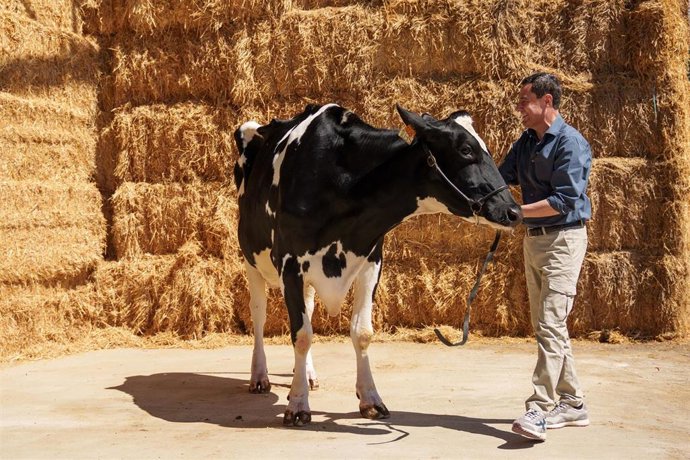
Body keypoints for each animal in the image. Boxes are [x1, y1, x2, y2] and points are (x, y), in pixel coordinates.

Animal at [233, 103, 522, 426]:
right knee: (259, 315)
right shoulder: (290, 263)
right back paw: (259, 376)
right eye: (466, 149)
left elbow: (361, 332)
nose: (513, 211)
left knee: (306, 310)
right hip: (251, 259)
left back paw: (306, 375)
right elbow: (302, 334)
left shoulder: (371, 261)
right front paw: (297, 406)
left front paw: (370, 399)